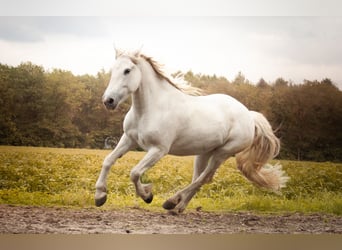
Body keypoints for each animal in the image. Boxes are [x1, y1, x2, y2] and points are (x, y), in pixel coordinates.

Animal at [95, 49, 290, 213]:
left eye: (127, 70)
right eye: (113, 70)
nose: (108, 101)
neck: (150, 109)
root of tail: (249, 116)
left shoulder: (159, 149)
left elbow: (135, 173)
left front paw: (147, 195)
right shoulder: (129, 139)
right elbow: (108, 161)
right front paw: (100, 196)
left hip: (223, 153)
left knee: (204, 178)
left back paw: (171, 201)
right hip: (204, 152)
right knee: (200, 177)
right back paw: (178, 207)